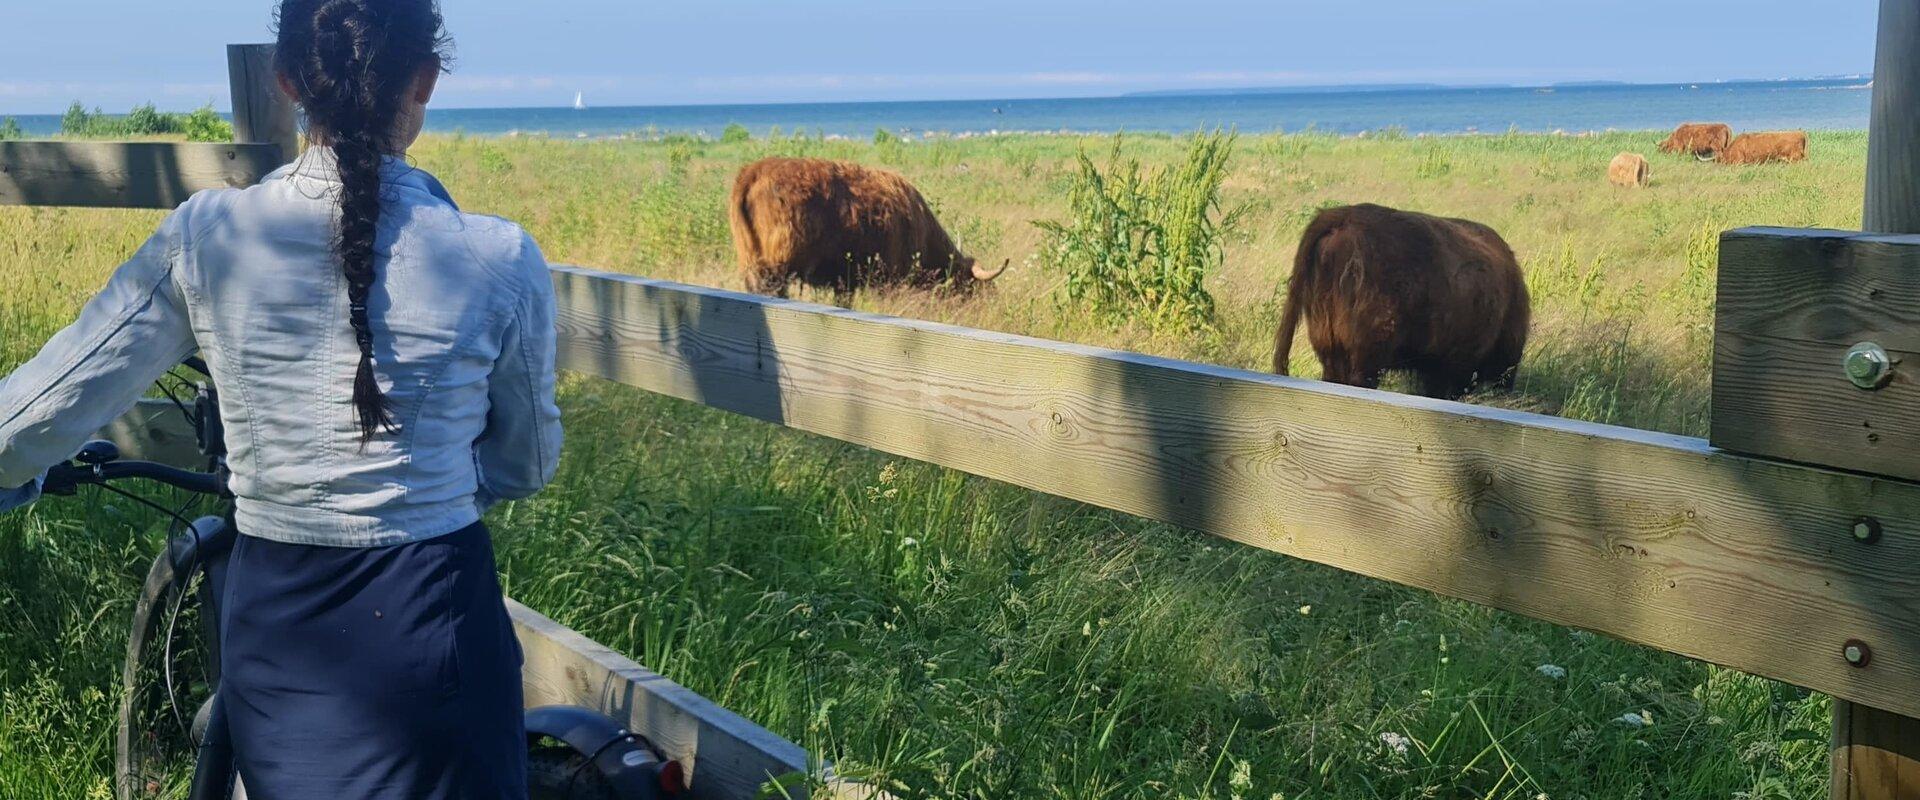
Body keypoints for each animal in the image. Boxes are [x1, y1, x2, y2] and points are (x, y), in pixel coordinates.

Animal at [729, 159, 1013, 303]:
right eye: (971, 287)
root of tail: (753, 172)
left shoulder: (844, 281)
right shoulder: (888, 279)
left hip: (751, 262)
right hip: (775, 270)